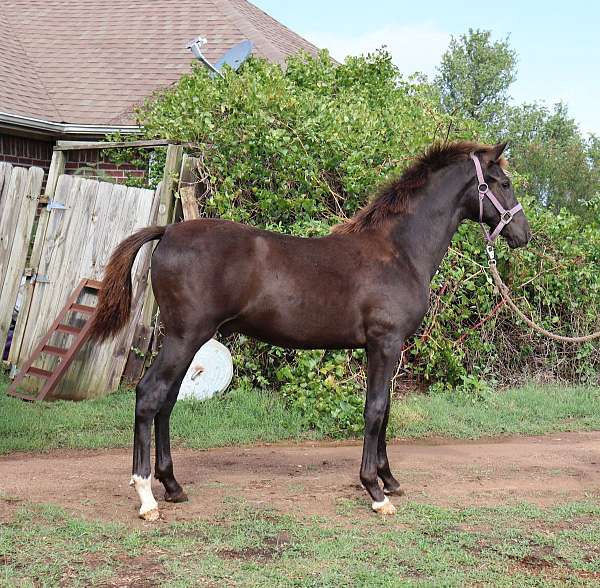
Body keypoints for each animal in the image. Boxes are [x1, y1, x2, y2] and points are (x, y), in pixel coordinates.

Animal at [88, 141, 528, 520]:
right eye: (504, 183)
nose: (523, 234)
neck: (399, 252)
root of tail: (167, 231)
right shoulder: (385, 344)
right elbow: (375, 410)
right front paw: (375, 492)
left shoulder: (384, 348)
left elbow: (384, 410)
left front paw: (389, 479)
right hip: (185, 337)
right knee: (150, 395)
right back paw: (146, 496)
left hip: (187, 340)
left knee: (167, 401)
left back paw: (173, 486)